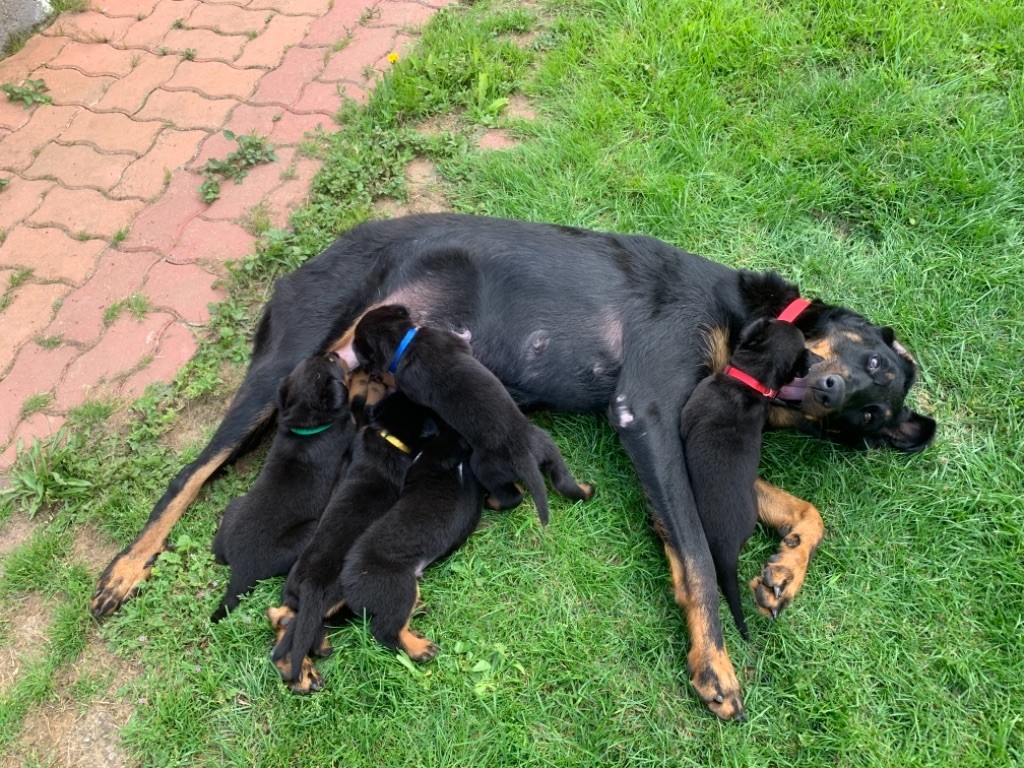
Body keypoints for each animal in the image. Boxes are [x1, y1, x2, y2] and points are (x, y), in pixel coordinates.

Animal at [209, 354, 354, 626]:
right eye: (332, 363)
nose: (334, 354)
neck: (305, 426)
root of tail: (241, 572)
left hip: (235, 505)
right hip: (309, 530)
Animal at [270, 393, 434, 696]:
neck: (385, 436)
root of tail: (310, 583)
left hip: (303, 601)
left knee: (286, 622)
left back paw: (301, 668)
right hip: (336, 596)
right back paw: (417, 647)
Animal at [352, 303, 593, 528]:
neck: (405, 342)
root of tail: (526, 456)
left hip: (484, 465)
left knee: (512, 497)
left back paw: (493, 502)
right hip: (549, 448)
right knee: (563, 482)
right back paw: (586, 489)